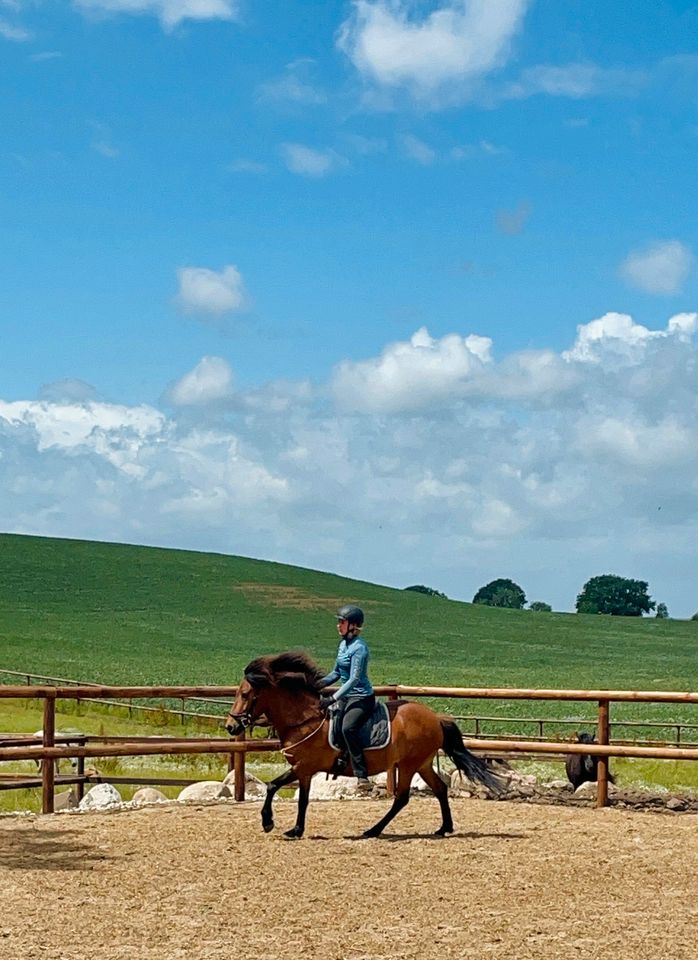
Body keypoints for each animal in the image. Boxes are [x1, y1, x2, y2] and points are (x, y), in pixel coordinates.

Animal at [223, 648, 500, 836]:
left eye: (245, 694)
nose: (230, 726)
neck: (305, 720)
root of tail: (435, 717)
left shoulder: (305, 767)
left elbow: (277, 788)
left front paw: (271, 823)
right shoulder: (303, 770)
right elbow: (296, 796)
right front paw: (292, 828)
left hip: (408, 765)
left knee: (402, 798)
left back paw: (373, 830)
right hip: (422, 763)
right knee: (440, 789)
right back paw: (444, 828)